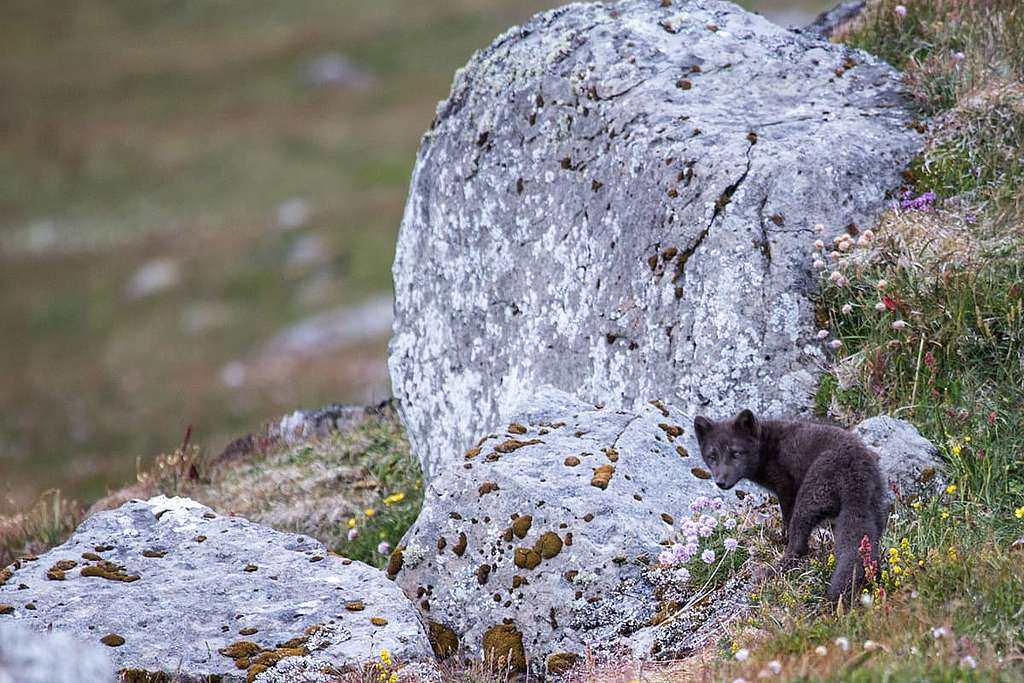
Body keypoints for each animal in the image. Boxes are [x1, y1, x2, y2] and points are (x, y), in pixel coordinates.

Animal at [696, 409, 888, 602]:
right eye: (712, 456)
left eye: (736, 453)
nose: (720, 482)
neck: (767, 448)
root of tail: (856, 474)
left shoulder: (786, 488)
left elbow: (786, 522)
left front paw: (781, 540)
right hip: (874, 512)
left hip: (807, 499)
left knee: (798, 547)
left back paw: (769, 571)